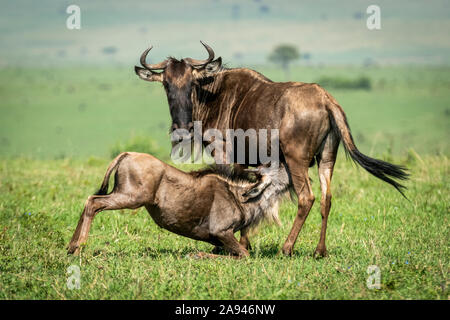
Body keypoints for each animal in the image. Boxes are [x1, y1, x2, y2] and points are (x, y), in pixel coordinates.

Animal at [68, 151, 290, 256]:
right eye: (276, 167)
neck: (240, 197)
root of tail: (128, 154)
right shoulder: (221, 232)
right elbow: (244, 253)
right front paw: (197, 255)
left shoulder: (219, 240)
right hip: (130, 198)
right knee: (93, 202)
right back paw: (78, 248)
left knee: (89, 201)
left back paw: (70, 247)